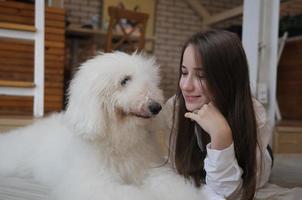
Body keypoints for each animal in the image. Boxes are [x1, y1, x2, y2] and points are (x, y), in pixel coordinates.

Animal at [0, 52, 222, 200]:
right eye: (124, 80)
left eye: (151, 81)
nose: (156, 107)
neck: (120, 138)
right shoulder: (96, 183)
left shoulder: (153, 171)